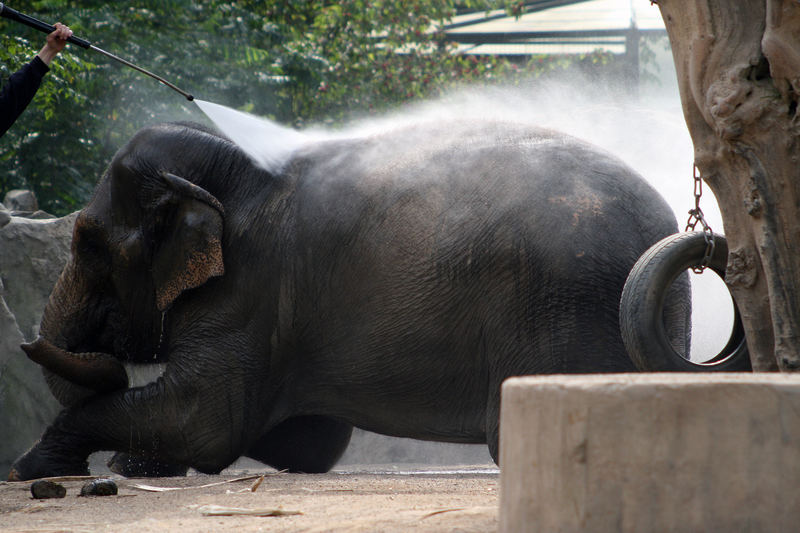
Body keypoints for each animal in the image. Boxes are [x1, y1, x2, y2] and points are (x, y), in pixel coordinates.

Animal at [7, 118, 688, 480]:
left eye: (89, 242)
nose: (28, 340)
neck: (232, 173)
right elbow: (304, 441)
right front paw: (135, 466)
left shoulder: (246, 292)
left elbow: (207, 423)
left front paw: (36, 465)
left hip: (566, 306)